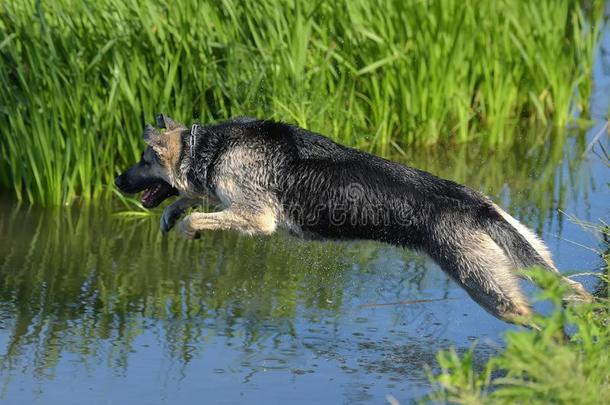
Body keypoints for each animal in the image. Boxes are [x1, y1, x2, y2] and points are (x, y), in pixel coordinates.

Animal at [115, 115, 588, 324]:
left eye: (141, 161)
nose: (117, 180)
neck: (209, 147)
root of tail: (474, 204)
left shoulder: (256, 217)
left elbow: (201, 217)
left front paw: (187, 226)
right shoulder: (226, 200)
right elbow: (190, 199)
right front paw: (173, 214)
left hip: (484, 286)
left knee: (532, 316)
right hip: (521, 256)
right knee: (571, 288)